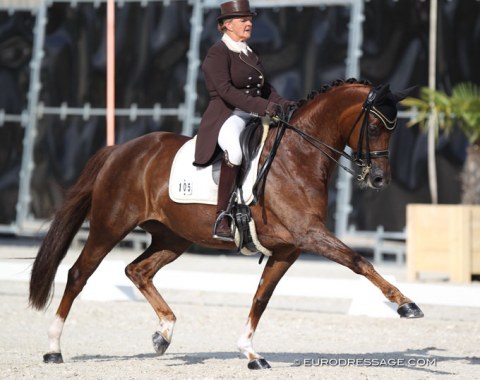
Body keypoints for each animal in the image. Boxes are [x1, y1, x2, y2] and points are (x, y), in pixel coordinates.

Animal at [29, 78, 424, 370]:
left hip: (173, 238)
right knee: (78, 274)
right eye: (373, 125)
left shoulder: (289, 249)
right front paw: (406, 305)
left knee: (137, 270)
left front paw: (249, 351)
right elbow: (359, 261)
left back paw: (164, 333)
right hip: (110, 226)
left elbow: (262, 297)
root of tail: (121, 150)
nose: (379, 179)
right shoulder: (310, 235)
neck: (297, 156)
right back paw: (53, 348)